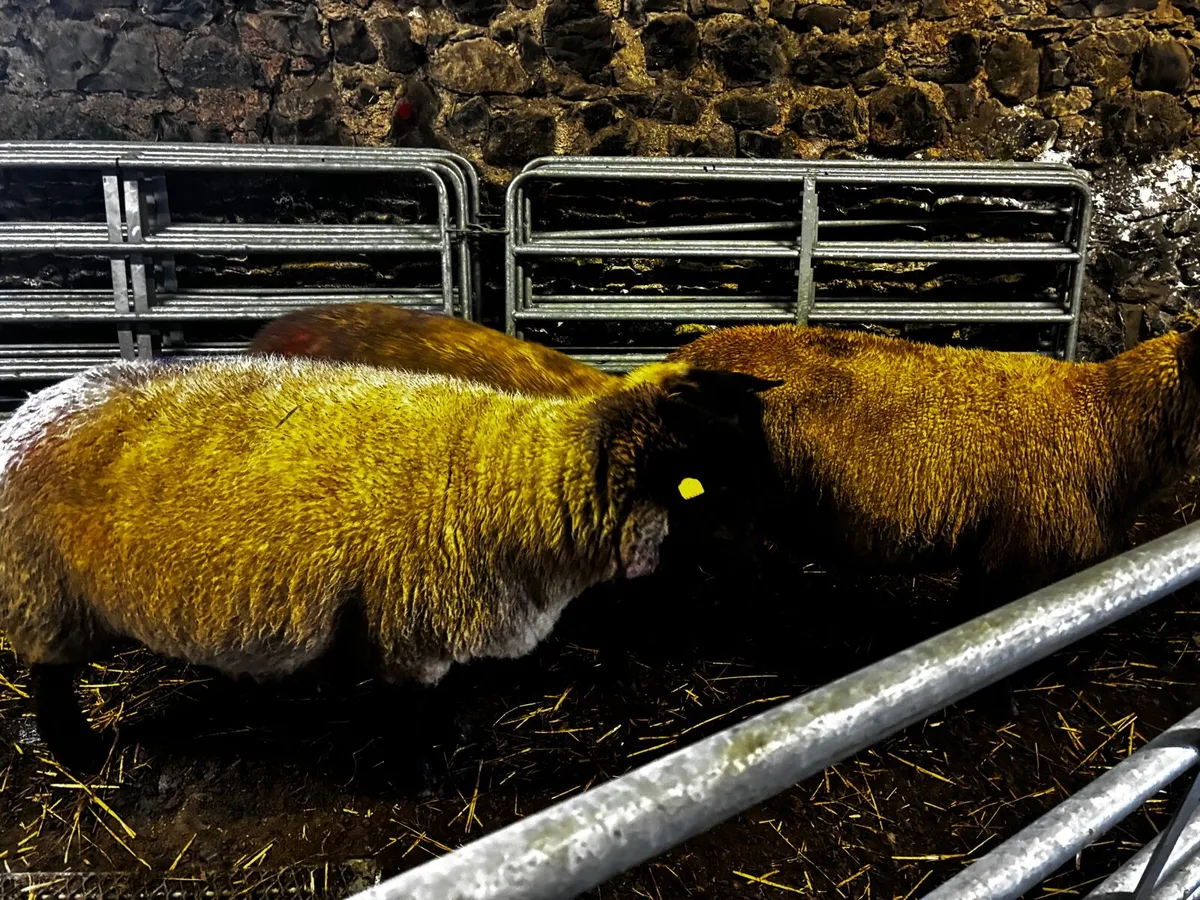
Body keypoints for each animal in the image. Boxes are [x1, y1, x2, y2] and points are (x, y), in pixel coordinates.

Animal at [0, 355, 777, 774]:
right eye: (701, 489)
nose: (773, 559)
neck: (507, 478)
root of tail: (30, 408)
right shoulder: (412, 623)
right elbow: (413, 710)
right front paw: (427, 767)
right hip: (43, 591)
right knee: (49, 682)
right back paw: (79, 755)